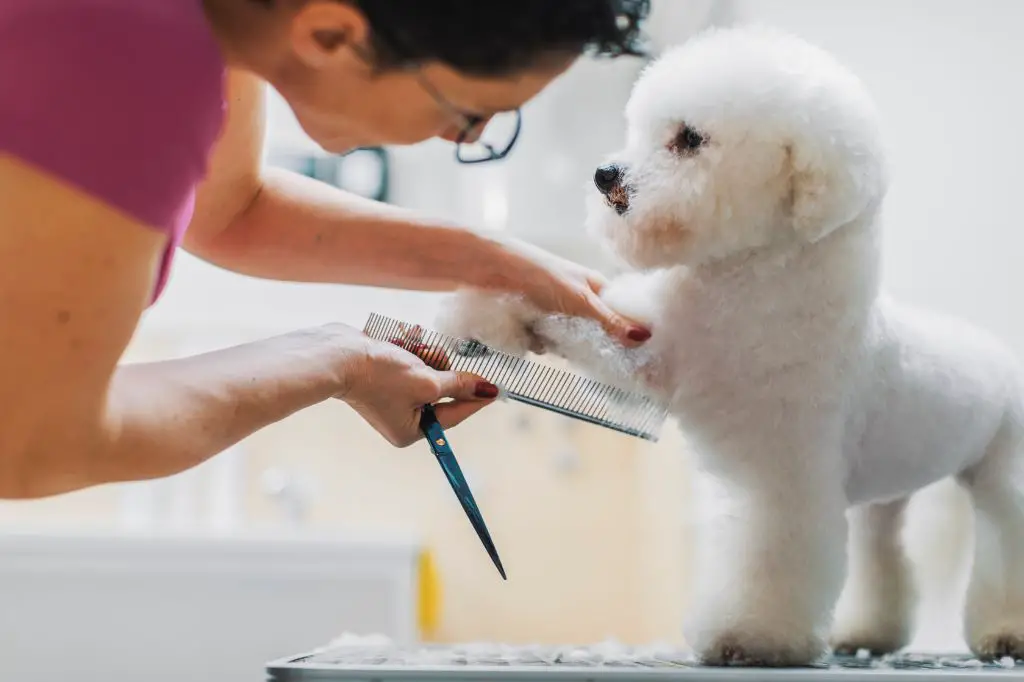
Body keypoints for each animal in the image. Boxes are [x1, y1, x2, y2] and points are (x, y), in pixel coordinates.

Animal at [436, 25, 1024, 663]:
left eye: (689, 139)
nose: (604, 173)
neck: (742, 288)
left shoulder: (782, 478)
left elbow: (769, 560)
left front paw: (749, 638)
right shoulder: (652, 353)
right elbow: (579, 320)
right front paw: (485, 314)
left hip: (1004, 474)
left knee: (1003, 540)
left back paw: (1004, 631)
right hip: (881, 499)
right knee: (880, 551)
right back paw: (866, 632)